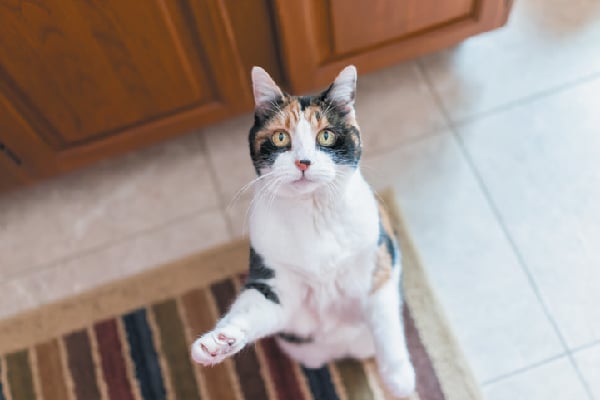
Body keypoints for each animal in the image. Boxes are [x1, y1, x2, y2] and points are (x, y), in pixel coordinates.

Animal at [190, 65, 414, 396]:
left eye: (326, 135)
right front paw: (218, 342)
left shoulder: (378, 264)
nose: (303, 162)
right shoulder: (277, 282)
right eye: (281, 137)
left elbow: (385, 322)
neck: (314, 215)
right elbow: (253, 309)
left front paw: (399, 376)